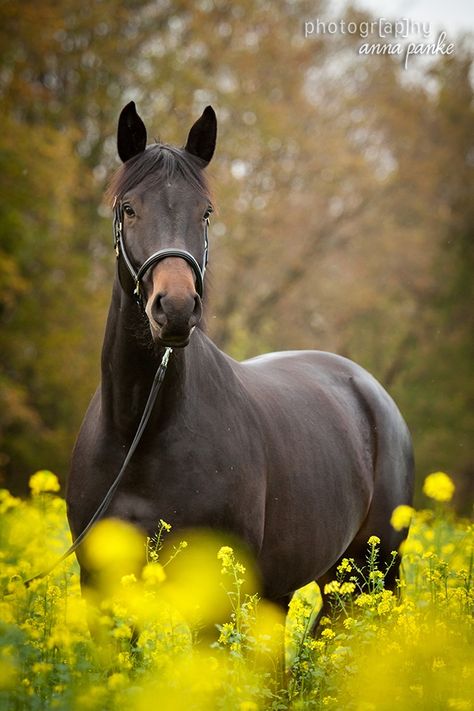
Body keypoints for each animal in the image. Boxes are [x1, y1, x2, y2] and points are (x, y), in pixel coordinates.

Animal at [65, 101, 412, 636]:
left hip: (372, 574)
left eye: (204, 212)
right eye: (129, 208)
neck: (139, 431)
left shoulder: (215, 604)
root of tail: (369, 390)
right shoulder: (102, 590)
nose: (176, 309)